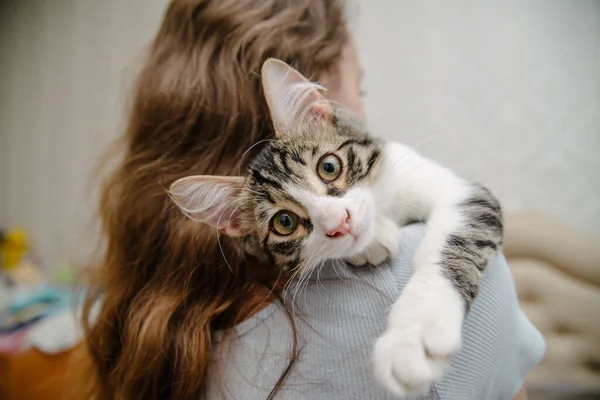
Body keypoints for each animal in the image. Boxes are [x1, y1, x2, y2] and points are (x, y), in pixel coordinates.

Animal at [169, 58, 502, 396]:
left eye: (329, 167)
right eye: (284, 222)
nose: (339, 221)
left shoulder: (460, 190)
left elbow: (453, 241)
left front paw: (415, 332)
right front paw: (372, 241)